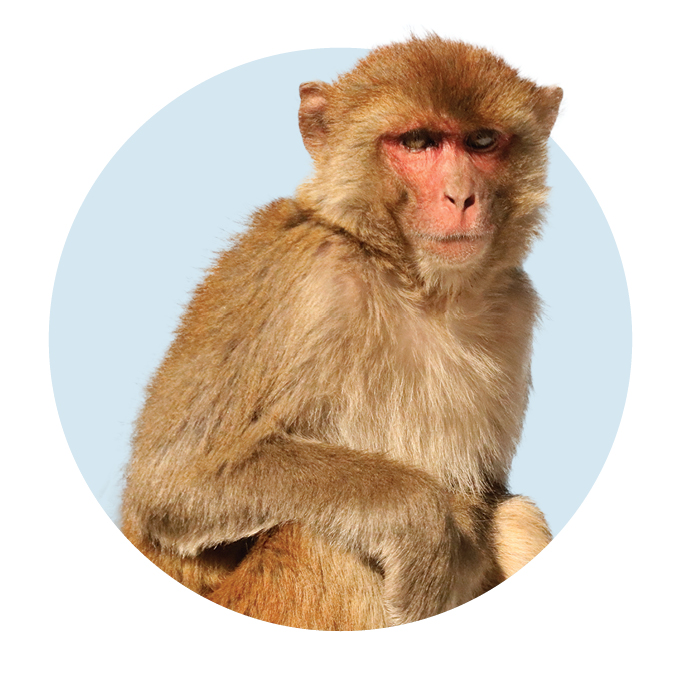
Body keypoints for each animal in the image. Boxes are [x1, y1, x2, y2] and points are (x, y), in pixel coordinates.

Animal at [121, 35, 562, 630]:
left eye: (483, 141)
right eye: (418, 141)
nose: (461, 196)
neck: (415, 285)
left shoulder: (514, 309)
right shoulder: (306, 279)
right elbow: (178, 476)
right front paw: (421, 523)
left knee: (515, 520)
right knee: (317, 540)